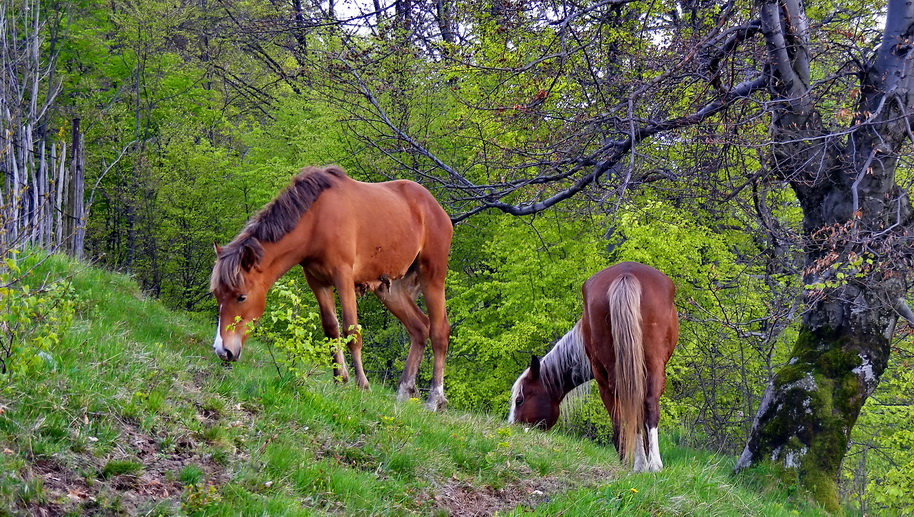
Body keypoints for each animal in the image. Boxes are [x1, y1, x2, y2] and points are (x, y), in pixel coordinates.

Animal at [214, 165, 456, 412]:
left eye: (241, 297)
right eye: (217, 295)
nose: (223, 351)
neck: (316, 220)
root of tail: (436, 209)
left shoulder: (343, 277)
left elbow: (351, 330)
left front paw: (362, 385)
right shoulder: (317, 280)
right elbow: (331, 328)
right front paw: (340, 379)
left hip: (432, 277)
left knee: (439, 331)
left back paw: (435, 399)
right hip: (391, 288)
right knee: (419, 327)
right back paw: (404, 391)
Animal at [506, 264, 676, 470]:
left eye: (519, 400)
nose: (512, 428)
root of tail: (626, 274)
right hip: (642, 368)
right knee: (640, 407)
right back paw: (648, 465)